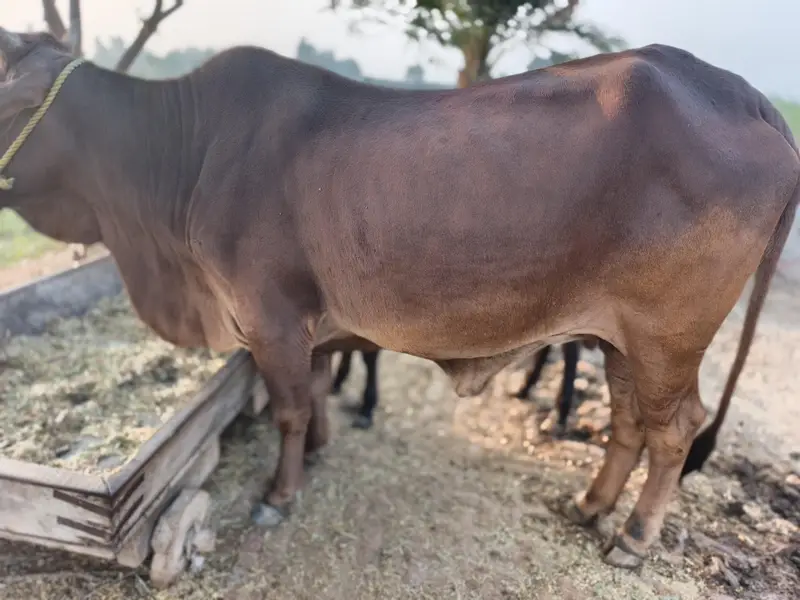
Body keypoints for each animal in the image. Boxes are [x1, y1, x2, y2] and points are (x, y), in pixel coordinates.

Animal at [0, 29, 796, 569]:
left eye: (10, 95)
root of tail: (746, 96)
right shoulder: (306, 325)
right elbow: (319, 387)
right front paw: (321, 451)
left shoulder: (270, 319)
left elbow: (289, 409)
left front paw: (279, 493)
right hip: (619, 339)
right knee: (629, 422)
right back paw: (591, 505)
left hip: (668, 338)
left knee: (676, 431)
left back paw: (631, 539)